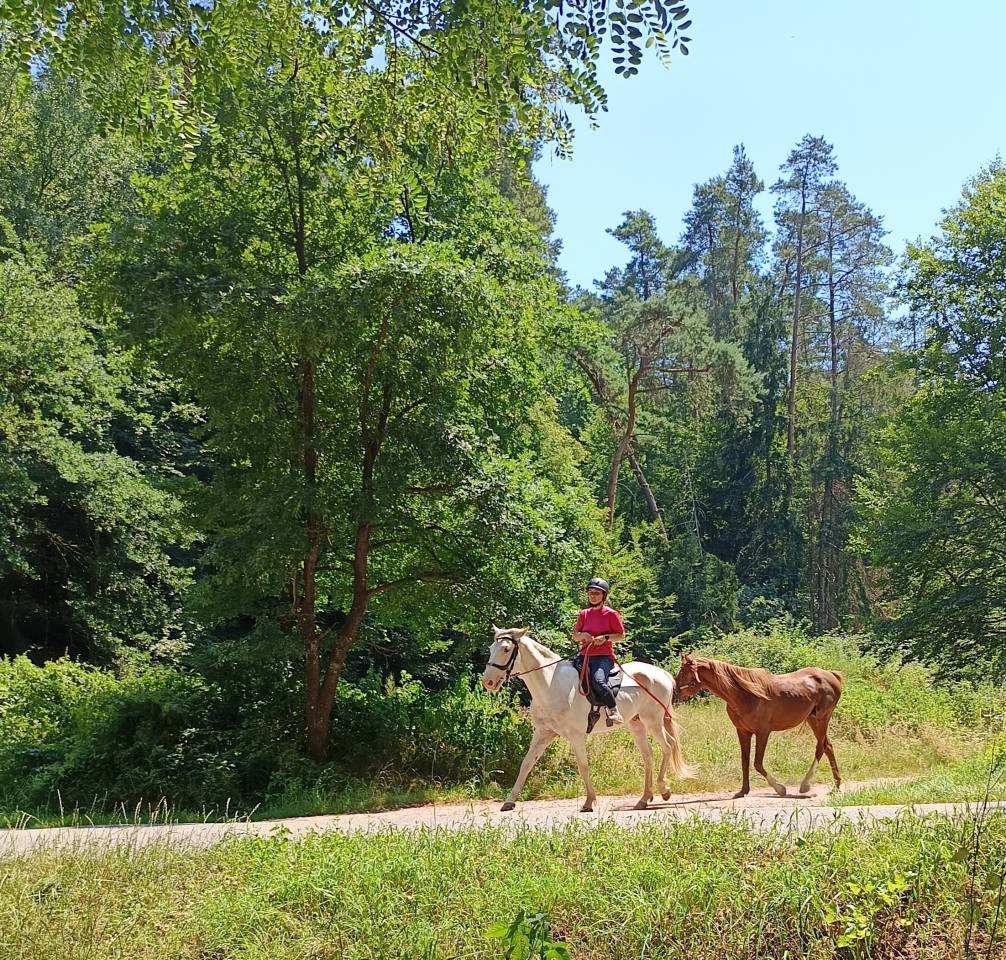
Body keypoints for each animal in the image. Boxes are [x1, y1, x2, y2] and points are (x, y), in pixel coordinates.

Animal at [482, 625, 691, 813]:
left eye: (506, 649)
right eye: (491, 648)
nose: (488, 682)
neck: (551, 684)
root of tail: (662, 673)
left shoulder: (576, 736)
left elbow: (583, 766)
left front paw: (589, 801)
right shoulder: (543, 734)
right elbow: (526, 764)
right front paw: (509, 802)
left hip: (653, 721)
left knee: (668, 746)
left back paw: (664, 789)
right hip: (636, 724)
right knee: (648, 755)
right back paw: (644, 799)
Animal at [673, 653, 844, 798]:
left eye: (683, 672)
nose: (673, 695)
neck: (745, 695)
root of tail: (832, 675)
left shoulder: (763, 732)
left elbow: (757, 763)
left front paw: (780, 788)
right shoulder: (743, 732)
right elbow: (745, 761)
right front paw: (743, 791)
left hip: (822, 719)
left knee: (821, 747)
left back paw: (805, 785)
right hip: (813, 720)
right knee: (828, 747)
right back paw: (836, 786)